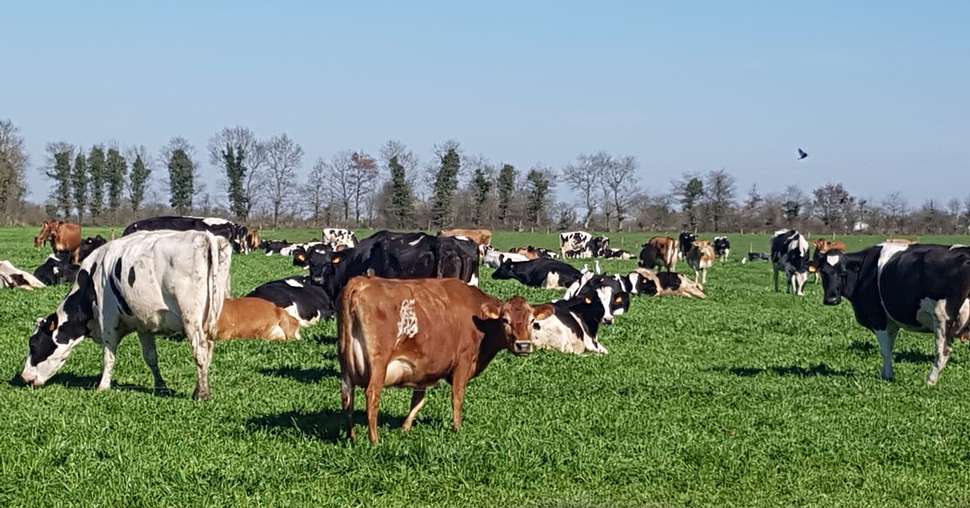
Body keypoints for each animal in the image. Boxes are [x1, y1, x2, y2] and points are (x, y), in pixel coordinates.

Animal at [19, 230, 233, 400]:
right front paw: (160, 386)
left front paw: (103, 386)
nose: (24, 377)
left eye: (33, 344)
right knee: (208, 352)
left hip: (191, 319)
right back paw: (198, 389)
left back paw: (202, 394)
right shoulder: (145, 324)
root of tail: (204, 236)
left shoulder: (108, 320)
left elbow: (108, 356)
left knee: (200, 352)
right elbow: (151, 358)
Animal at [336, 276, 548, 442]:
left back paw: (352, 436)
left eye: (532, 321)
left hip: (345, 366)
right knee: (372, 395)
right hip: (379, 364)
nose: (523, 345)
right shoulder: (463, 362)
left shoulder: (423, 370)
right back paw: (374, 441)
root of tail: (360, 282)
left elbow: (418, 401)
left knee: (347, 397)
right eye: (505, 320)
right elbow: (457, 397)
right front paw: (457, 429)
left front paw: (405, 428)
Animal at [816, 243, 968, 384]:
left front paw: (888, 376)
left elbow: (885, 350)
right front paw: (885, 373)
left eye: (843, 272)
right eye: (822, 272)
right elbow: (889, 347)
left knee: (943, 352)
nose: (831, 300)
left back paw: (930, 381)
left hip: (941, 318)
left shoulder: (877, 318)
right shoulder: (891, 323)